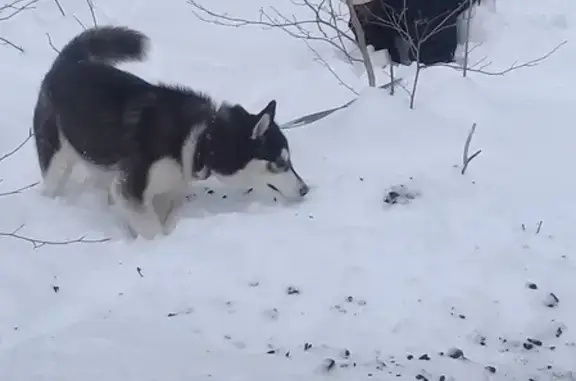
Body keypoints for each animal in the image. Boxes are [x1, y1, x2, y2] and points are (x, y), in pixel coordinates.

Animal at [32, 26, 310, 239]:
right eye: (280, 163)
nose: (305, 189)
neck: (200, 139)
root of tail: (69, 63)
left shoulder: (162, 188)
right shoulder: (131, 187)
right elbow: (152, 229)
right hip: (57, 159)